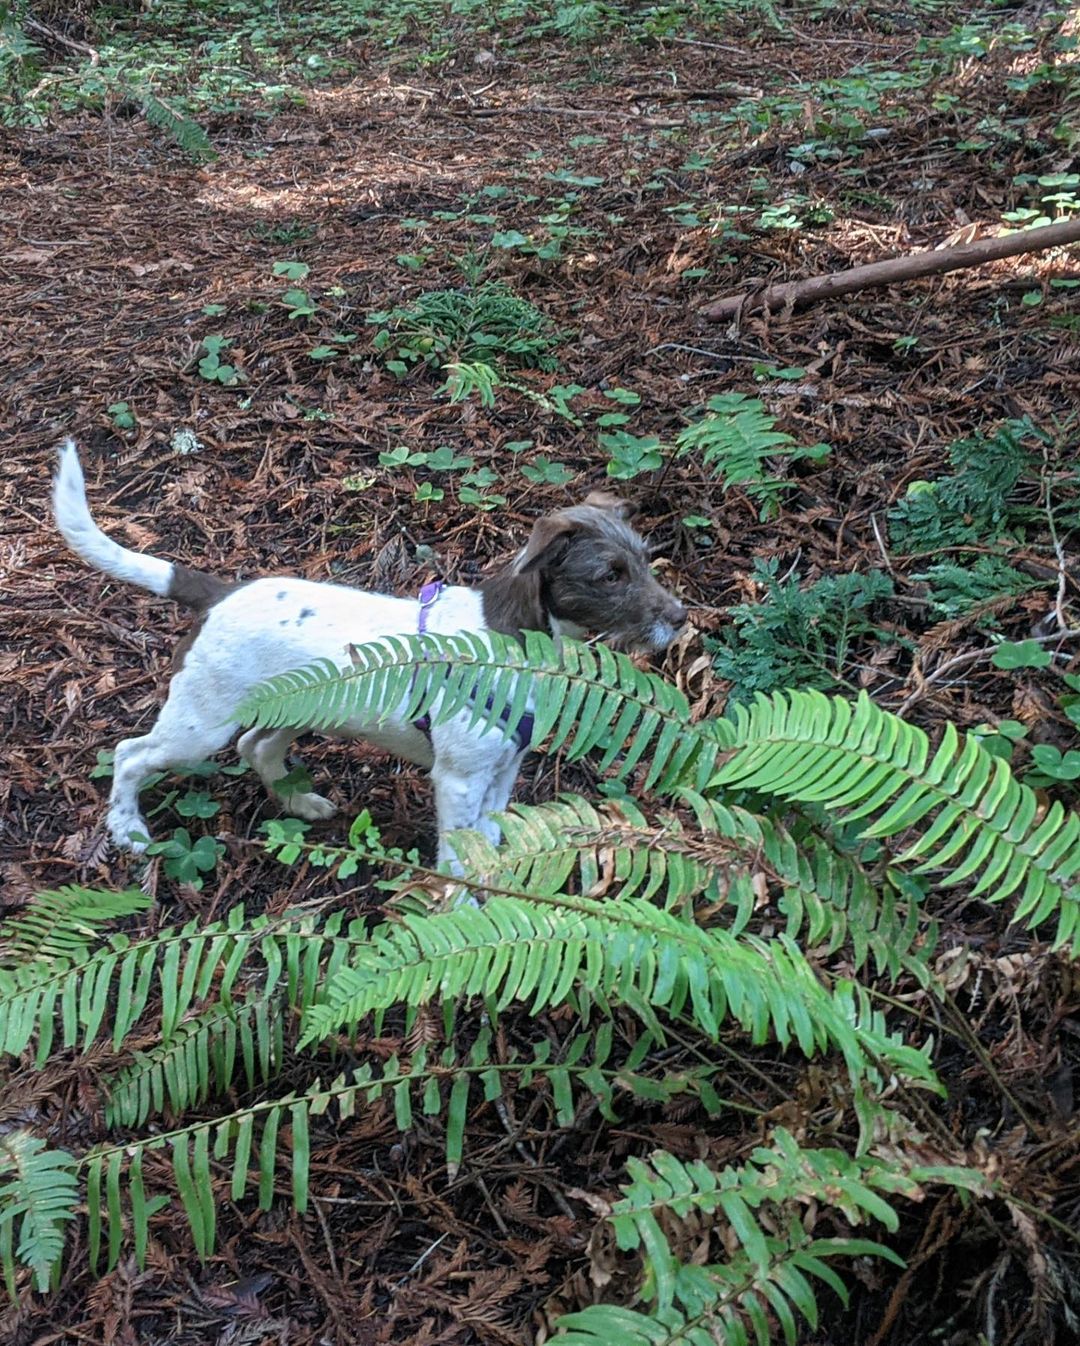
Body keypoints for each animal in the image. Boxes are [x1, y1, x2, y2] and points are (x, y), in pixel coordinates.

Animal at [52, 436, 681, 866]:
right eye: (610, 575)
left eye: (647, 560)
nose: (680, 618)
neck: (507, 642)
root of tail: (221, 592)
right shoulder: (458, 779)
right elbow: (460, 856)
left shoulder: (502, 773)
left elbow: (489, 839)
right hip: (200, 724)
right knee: (131, 754)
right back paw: (128, 829)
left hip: (301, 707)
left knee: (257, 746)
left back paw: (300, 804)